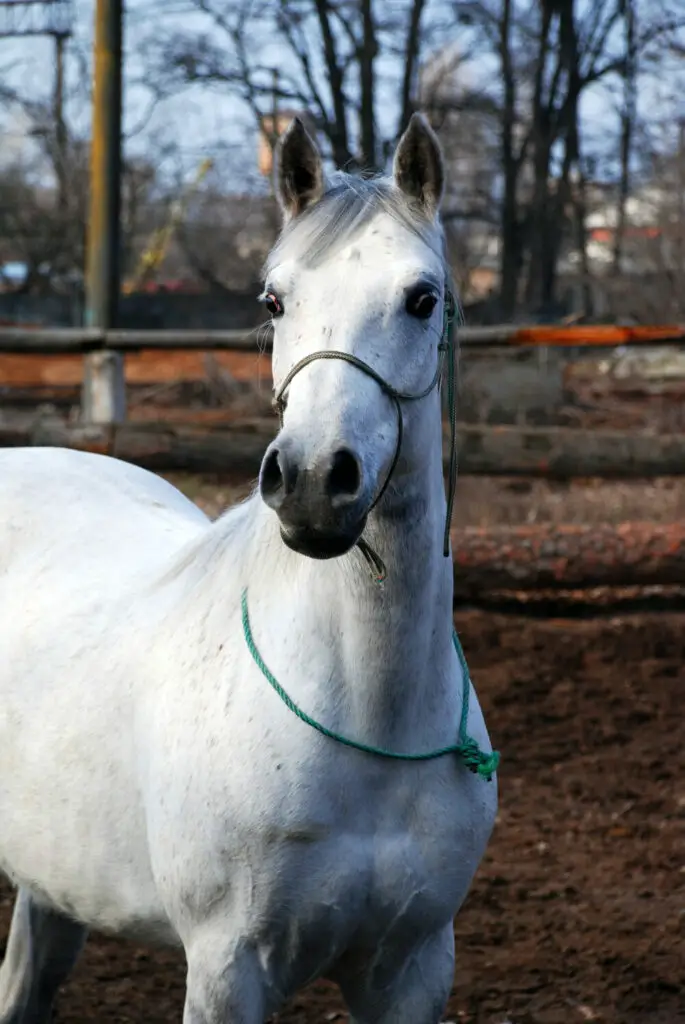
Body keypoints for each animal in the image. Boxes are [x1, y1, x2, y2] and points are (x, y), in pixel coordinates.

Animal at [0, 114, 497, 1024]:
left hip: (54, 886)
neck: (369, 718)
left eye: (421, 298)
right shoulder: (228, 969)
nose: (311, 481)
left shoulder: (411, 967)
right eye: (274, 300)